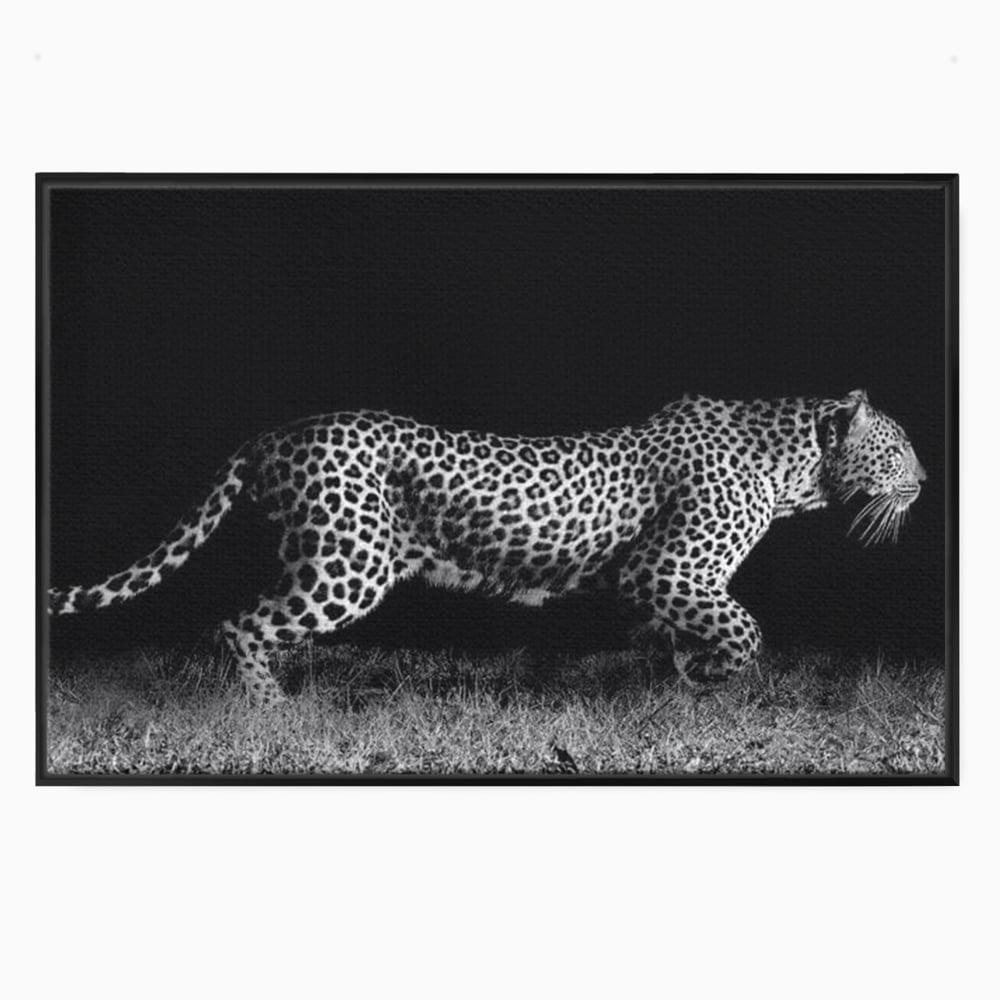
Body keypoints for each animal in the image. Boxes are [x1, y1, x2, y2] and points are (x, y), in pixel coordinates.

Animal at [48, 389, 926, 705]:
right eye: (899, 448)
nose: (923, 481)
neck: (794, 469)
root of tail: (276, 432)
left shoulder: (652, 585)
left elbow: (675, 640)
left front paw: (674, 688)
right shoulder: (668, 569)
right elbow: (746, 630)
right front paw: (710, 677)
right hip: (347, 564)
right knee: (240, 625)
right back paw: (273, 713)